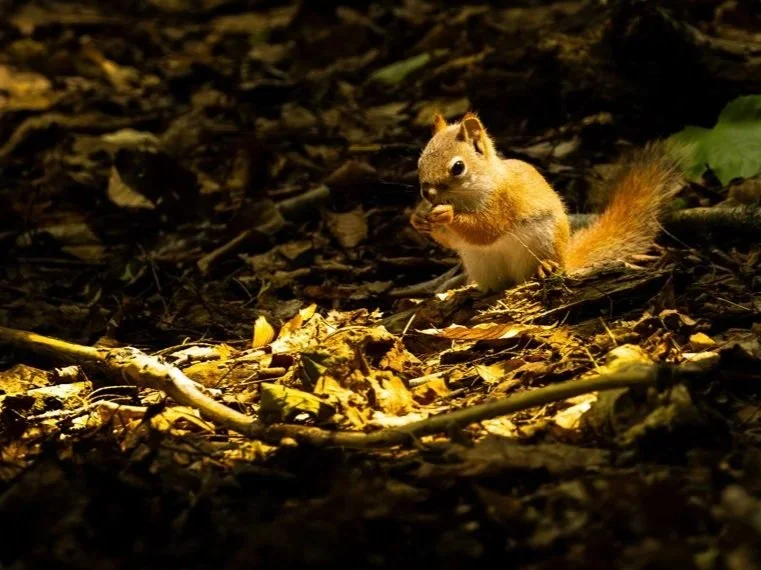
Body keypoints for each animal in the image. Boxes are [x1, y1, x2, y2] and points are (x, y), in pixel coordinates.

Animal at [410, 112, 684, 292]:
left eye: (458, 167)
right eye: (420, 161)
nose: (427, 193)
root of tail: (565, 257)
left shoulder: (504, 201)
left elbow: (486, 229)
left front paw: (447, 215)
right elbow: (454, 239)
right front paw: (417, 218)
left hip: (543, 243)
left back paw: (546, 268)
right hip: (480, 263)